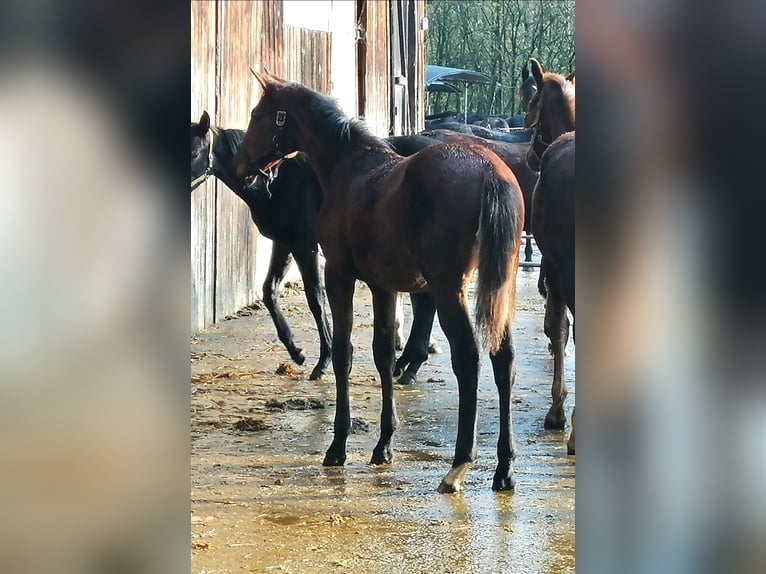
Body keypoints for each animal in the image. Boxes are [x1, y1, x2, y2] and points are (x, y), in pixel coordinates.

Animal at [237, 72, 524, 496]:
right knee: (502, 358)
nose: (243, 162)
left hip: (448, 288)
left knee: (468, 359)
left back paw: (459, 464)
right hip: (501, 287)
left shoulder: (339, 276)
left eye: (259, 114)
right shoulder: (383, 287)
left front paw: (338, 445)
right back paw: (503, 469)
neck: (350, 168)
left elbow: (344, 353)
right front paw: (384, 445)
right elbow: (383, 354)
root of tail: (490, 171)